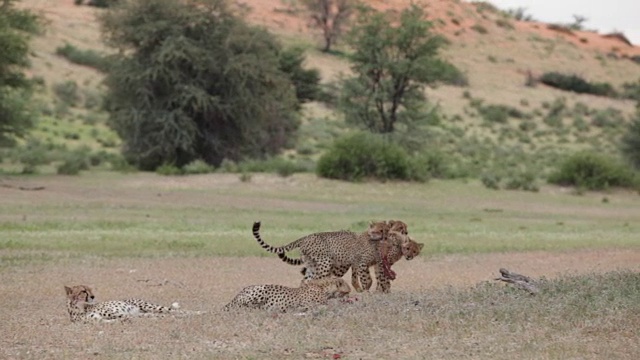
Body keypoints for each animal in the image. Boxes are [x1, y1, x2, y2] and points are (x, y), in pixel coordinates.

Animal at [65, 284, 196, 324]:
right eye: (83, 291)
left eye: (90, 289)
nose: (93, 296)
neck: (80, 308)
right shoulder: (98, 320)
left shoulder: (119, 314)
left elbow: (126, 317)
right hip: (144, 312)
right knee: (159, 315)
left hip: (149, 306)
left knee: (176, 311)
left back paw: (197, 313)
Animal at [221, 278, 350, 314]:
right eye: (347, 292)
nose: (348, 298)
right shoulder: (307, 304)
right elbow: (327, 307)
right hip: (260, 289)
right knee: (241, 306)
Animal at [252, 219, 388, 292]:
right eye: (377, 230)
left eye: (384, 230)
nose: (383, 236)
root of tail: (305, 237)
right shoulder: (362, 264)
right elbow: (367, 279)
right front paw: (367, 292)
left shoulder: (377, 264)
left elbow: (378, 278)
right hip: (325, 263)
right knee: (316, 280)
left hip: (313, 265)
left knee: (306, 280)